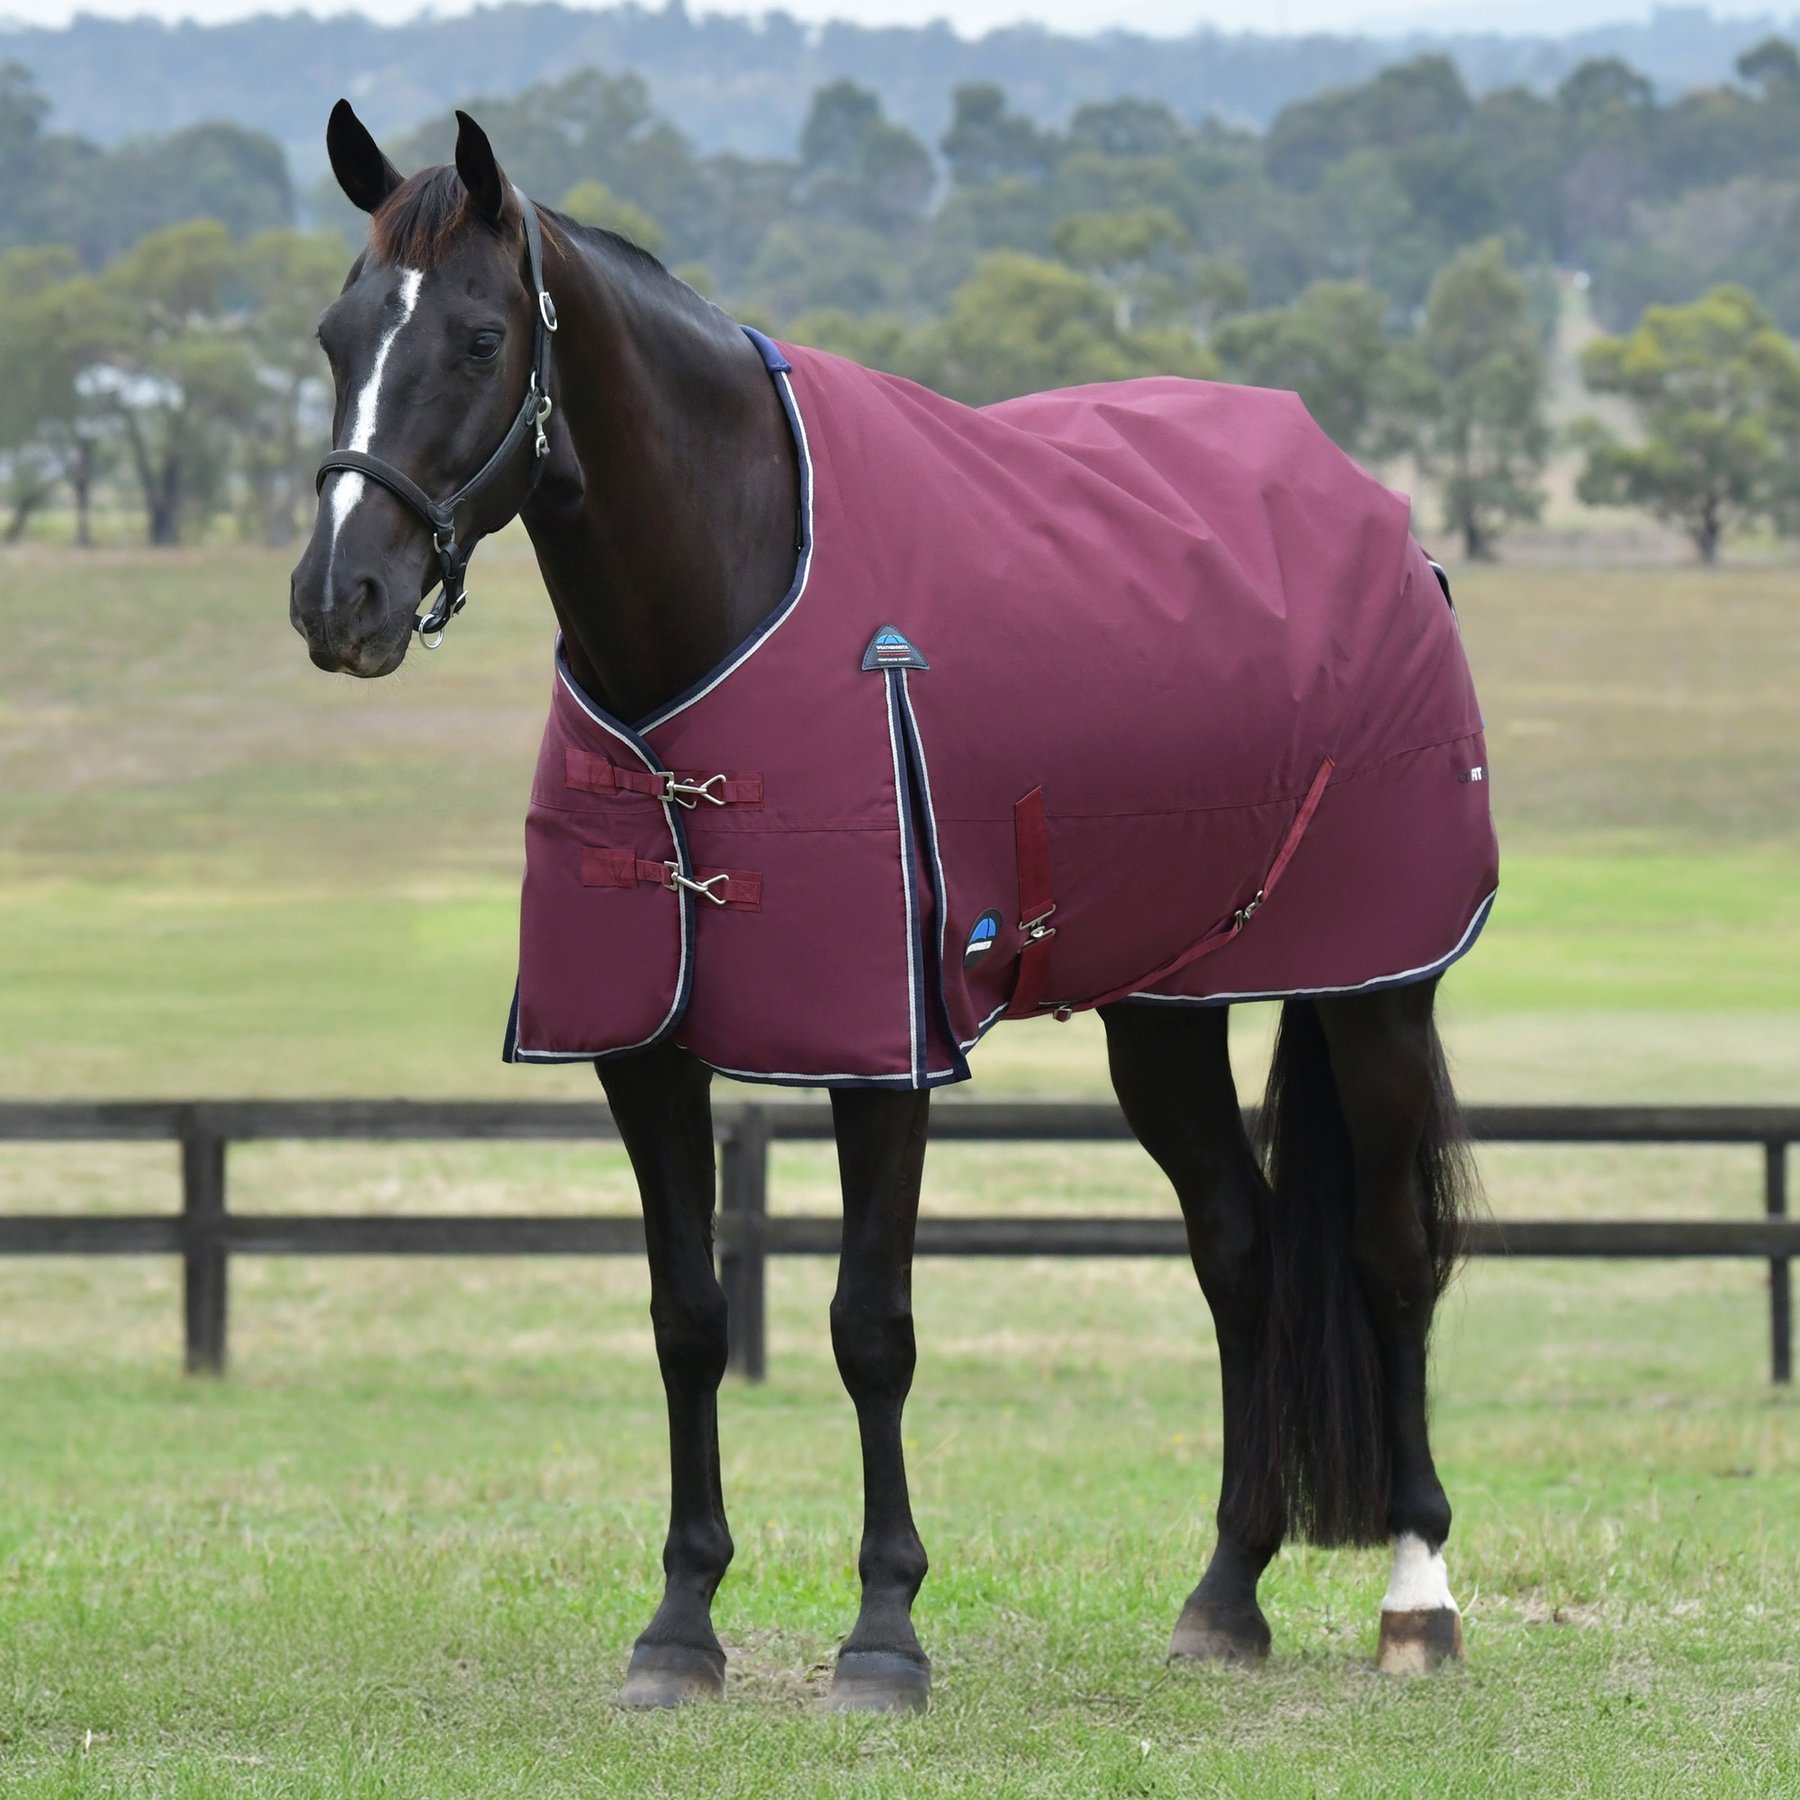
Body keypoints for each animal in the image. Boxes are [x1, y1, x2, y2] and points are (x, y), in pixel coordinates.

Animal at [289, 101, 1492, 1712]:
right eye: (337, 333)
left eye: (481, 338)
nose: (337, 599)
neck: (729, 598)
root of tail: (1382, 521)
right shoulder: (640, 1053)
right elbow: (689, 1320)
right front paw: (680, 1627)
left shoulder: (885, 1051)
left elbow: (872, 1328)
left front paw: (884, 1633)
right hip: (1165, 1011)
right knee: (1237, 1251)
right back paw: (1225, 1593)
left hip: (1375, 991)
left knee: (1388, 1252)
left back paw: (1418, 1595)